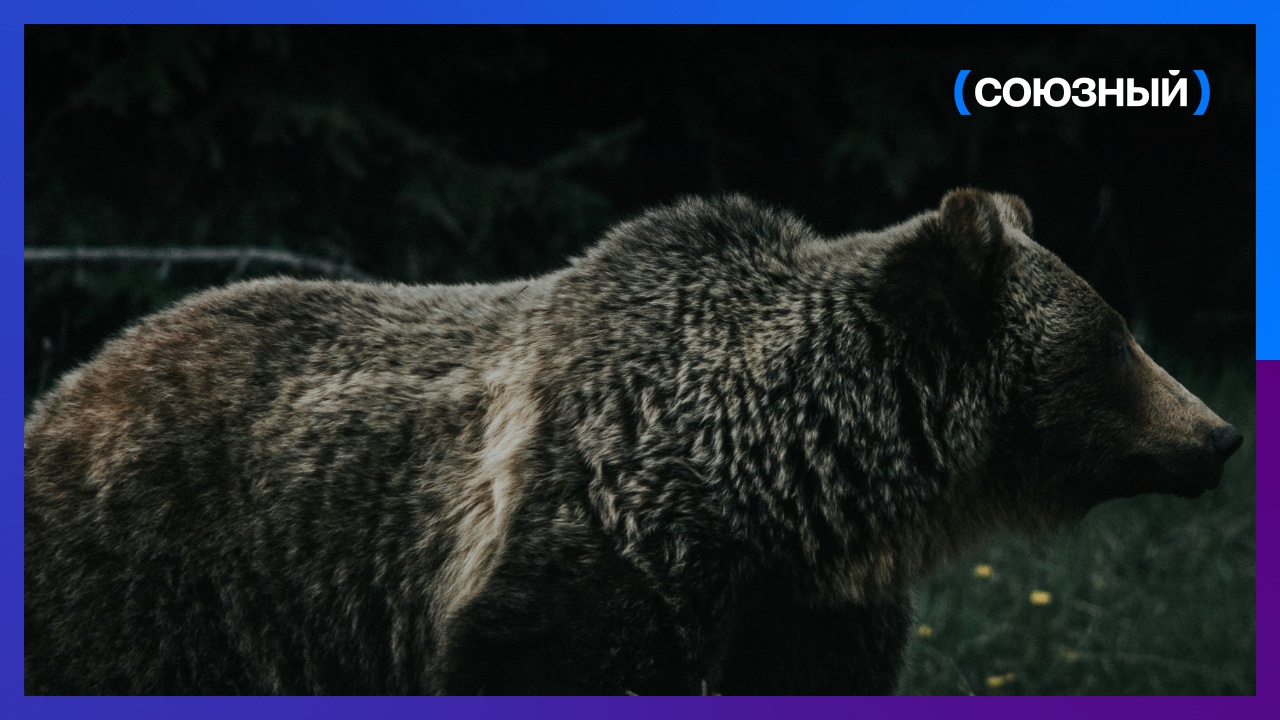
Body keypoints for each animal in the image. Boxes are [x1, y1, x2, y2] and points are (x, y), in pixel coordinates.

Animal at [23, 189, 1244, 695]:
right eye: (1113, 341)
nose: (1220, 434)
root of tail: (70, 384)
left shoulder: (803, 612)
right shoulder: (595, 553)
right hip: (167, 586)